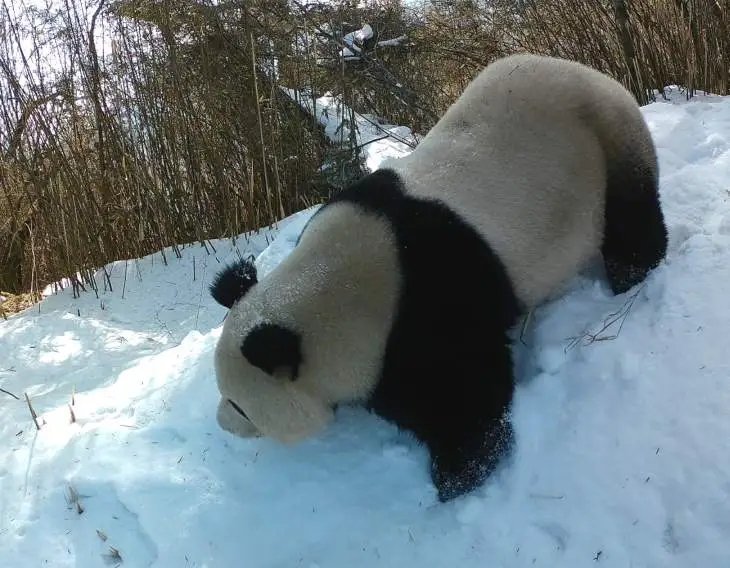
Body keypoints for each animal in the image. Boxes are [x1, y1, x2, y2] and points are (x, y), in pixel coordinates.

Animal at [206, 53, 664, 504]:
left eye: (239, 404)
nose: (222, 422)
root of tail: (592, 72)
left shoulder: (427, 305)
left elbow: (462, 393)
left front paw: (457, 478)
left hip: (605, 141)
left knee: (632, 216)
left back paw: (631, 276)